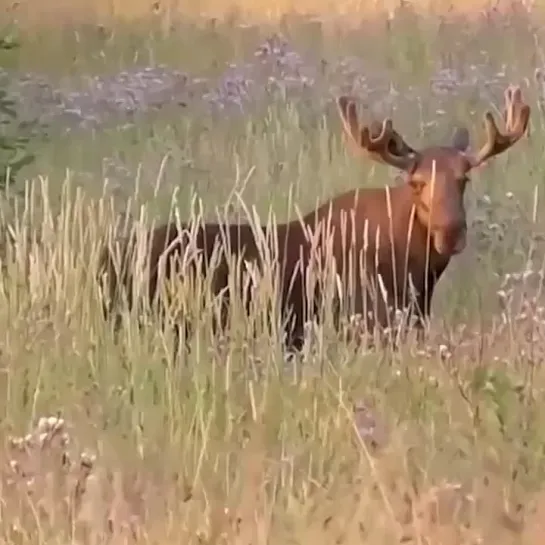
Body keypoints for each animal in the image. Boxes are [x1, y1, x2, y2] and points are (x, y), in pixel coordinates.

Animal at [98, 83, 528, 350]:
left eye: (464, 178)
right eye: (417, 182)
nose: (451, 231)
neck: (414, 272)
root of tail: (102, 259)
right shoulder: (364, 319)